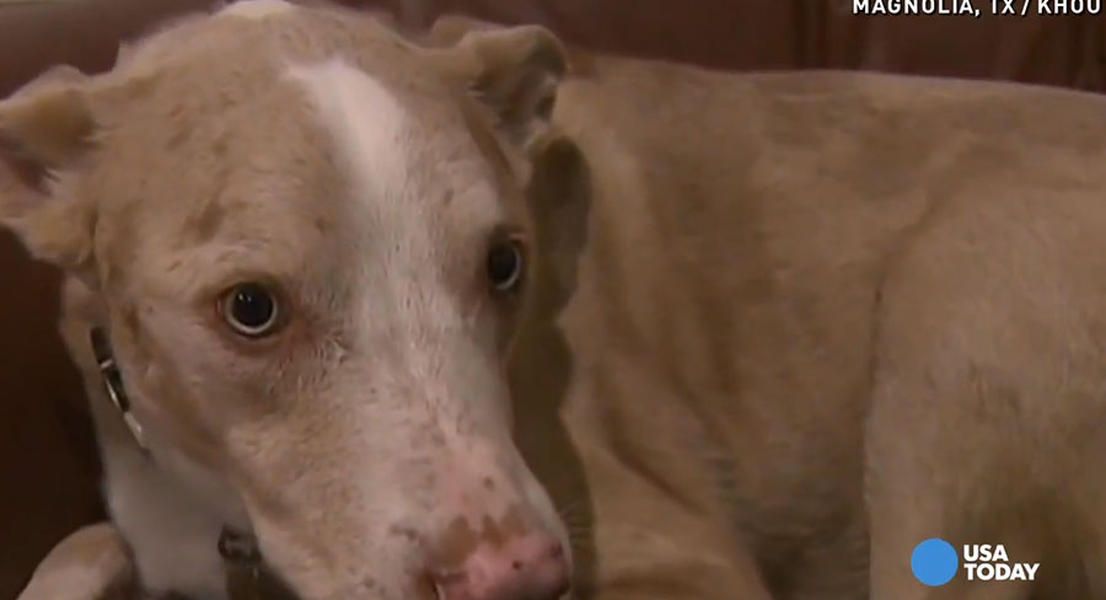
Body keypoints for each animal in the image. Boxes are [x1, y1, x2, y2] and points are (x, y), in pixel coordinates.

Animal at [6, 1, 1106, 600]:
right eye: (250, 309)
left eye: (504, 264)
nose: (520, 580)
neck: (219, 510)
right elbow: (80, 541)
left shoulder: (686, 566)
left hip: (958, 293)